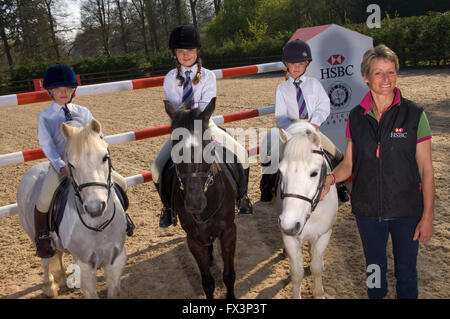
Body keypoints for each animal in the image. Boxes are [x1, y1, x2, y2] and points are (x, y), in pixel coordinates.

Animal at [17, 120, 126, 300]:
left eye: (105, 157)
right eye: (71, 164)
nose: (95, 208)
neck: (98, 225)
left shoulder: (116, 259)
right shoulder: (84, 265)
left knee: (58, 254)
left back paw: (62, 279)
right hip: (34, 237)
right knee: (46, 261)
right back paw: (50, 287)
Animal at [163, 98, 237, 300]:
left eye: (208, 147)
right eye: (175, 148)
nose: (195, 203)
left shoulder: (229, 232)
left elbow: (229, 275)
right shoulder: (193, 240)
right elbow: (207, 282)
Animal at [272, 122, 336, 300]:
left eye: (314, 173)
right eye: (281, 172)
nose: (289, 224)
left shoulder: (324, 235)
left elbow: (315, 268)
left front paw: (319, 293)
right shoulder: (290, 238)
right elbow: (297, 273)